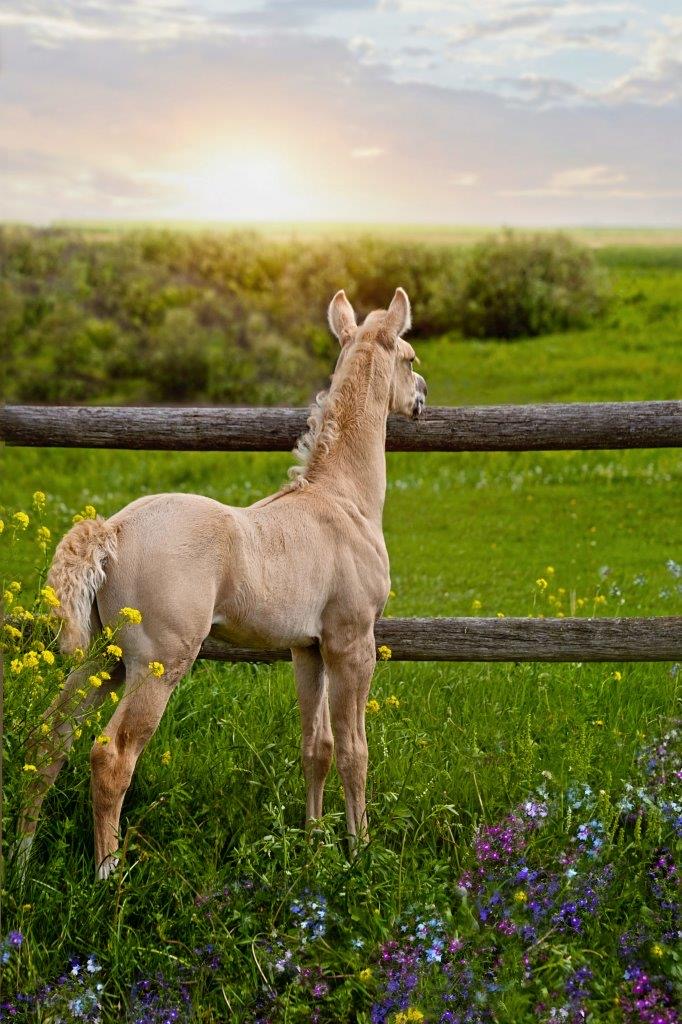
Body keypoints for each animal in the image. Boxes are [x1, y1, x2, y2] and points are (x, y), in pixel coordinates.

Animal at [18, 287, 427, 878]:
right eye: (410, 358)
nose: (422, 397)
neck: (342, 499)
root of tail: (113, 530)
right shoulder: (352, 642)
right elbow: (355, 750)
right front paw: (360, 851)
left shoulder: (307, 648)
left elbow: (316, 747)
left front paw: (312, 845)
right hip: (159, 663)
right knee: (111, 755)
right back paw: (107, 875)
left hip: (106, 658)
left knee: (49, 737)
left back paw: (22, 857)